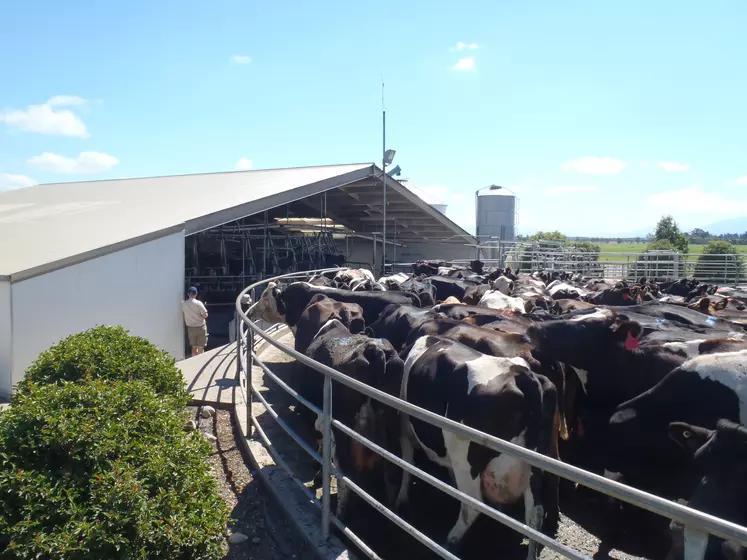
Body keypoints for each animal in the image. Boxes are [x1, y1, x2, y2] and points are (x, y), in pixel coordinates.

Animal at [398, 334, 560, 556]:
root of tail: (524, 376)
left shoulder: (405, 427)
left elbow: (407, 463)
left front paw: (401, 499)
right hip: (536, 466)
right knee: (534, 515)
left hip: (466, 458)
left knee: (472, 505)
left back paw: (450, 541)